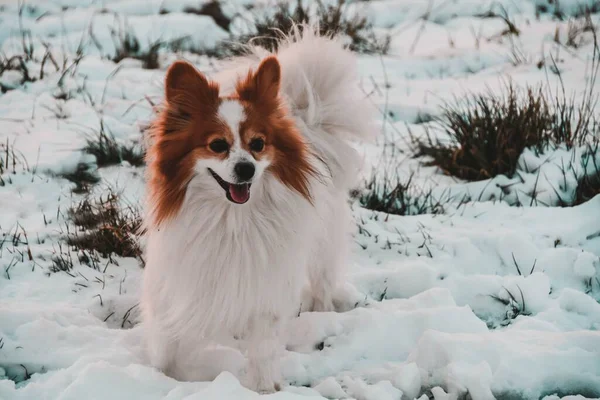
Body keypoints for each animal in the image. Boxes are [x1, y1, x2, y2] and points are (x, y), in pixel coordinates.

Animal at [141, 26, 372, 392]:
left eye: (258, 144)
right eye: (217, 145)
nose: (246, 168)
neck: (231, 219)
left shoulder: (267, 287)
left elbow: (264, 348)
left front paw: (265, 389)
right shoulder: (178, 282)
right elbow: (167, 343)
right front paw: (164, 378)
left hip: (321, 251)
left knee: (321, 285)